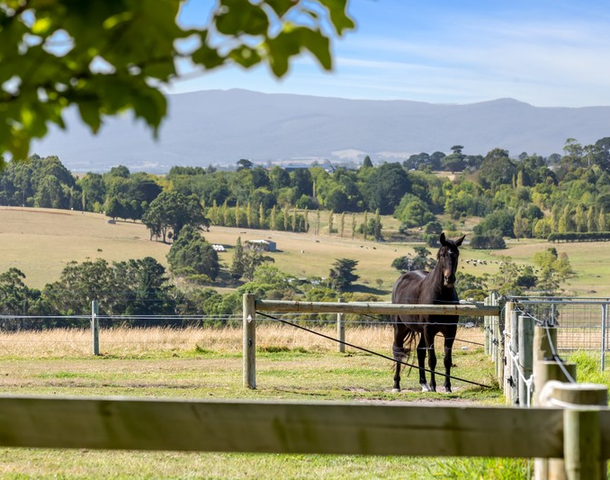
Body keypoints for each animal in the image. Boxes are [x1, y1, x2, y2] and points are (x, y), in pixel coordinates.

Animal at [392, 233, 464, 394]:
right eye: (442, 255)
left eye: (456, 254)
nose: (449, 279)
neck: (441, 297)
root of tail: (401, 279)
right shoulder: (429, 330)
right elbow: (432, 359)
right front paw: (434, 386)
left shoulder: (451, 331)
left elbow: (447, 360)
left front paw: (447, 387)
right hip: (400, 327)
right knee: (398, 352)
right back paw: (396, 385)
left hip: (421, 331)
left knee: (419, 351)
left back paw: (423, 384)